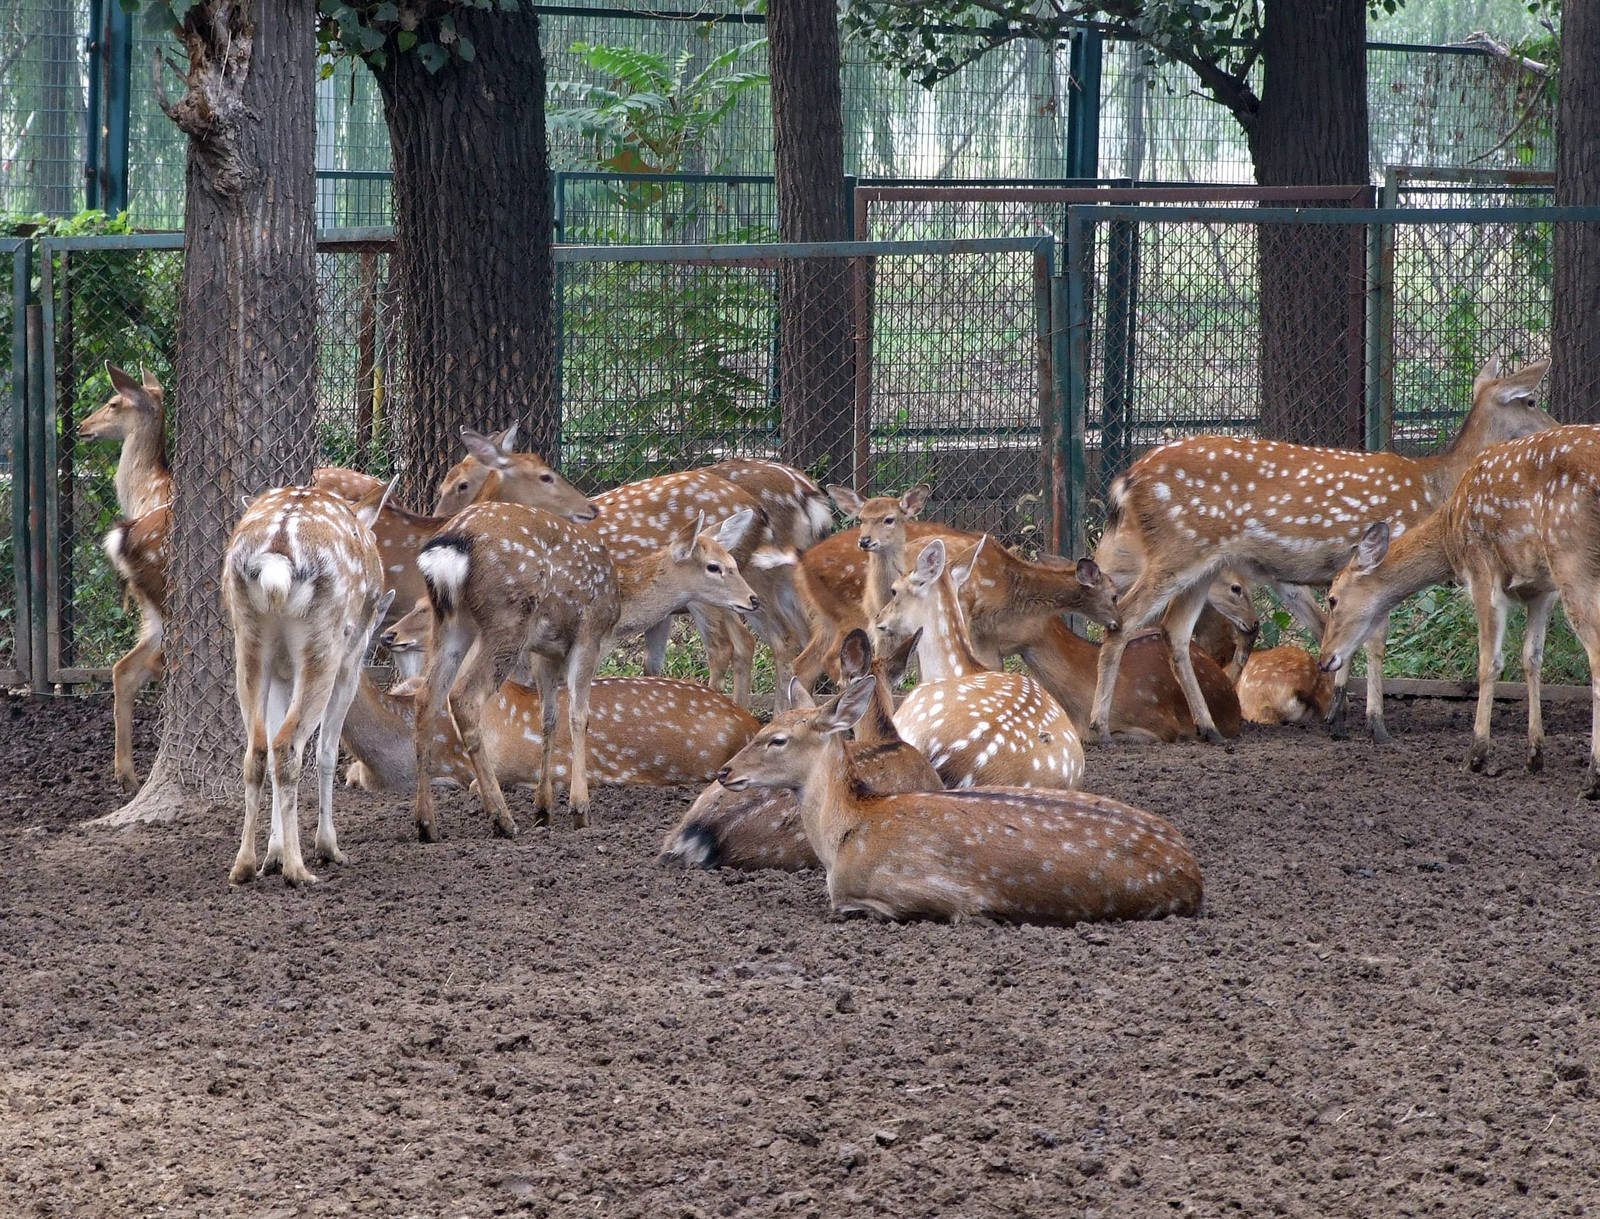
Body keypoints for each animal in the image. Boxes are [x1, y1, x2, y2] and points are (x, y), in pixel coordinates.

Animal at [222, 485, 392, 886]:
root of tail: (278, 557)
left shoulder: (283, 673)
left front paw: (273, 854)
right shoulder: (352, 661)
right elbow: (328, 752)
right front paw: (328, 848)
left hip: (249, 641)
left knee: (258, 749)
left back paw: (244, 866)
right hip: (324, 643)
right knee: (287, 746)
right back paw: (299, 870)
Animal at [411, 504, 759, 839]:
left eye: (733, 562)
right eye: (714, 567)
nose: (752, 599)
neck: (620, 605)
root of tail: (450, 547)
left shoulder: (545, 652)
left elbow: (548, 719)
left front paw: (543, 809)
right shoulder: (588, 636)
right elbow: (579, 716)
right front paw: (580, 808)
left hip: (451, 622)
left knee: (427, 698)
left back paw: (427, 824)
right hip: (506, 619)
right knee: (464, 697)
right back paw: (502, 819)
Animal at [1089, 357, 1555, 747]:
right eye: (1531, 400)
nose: (1556, 425)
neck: (1433, 487)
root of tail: (1126, 480)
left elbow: (1340, 631)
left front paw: (1339, 717)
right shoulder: (1382, 557)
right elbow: (1374, 640)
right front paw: (1373, 724)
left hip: (1201, 564)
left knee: (1173, 631)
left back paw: (1210, 730)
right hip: (1178, 549)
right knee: (1123, 619)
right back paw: (1100, 729)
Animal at [1320, 424, 1600, 794]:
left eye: (1332, 598)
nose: (1324, 658)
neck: (1450, 531)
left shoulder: (1482, 571)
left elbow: (1489, 663)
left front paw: (1476, 755)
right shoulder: (1540, 589)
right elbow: (1531, 659)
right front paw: (1534, 755)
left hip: (1572, 557)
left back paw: (1593, 776)